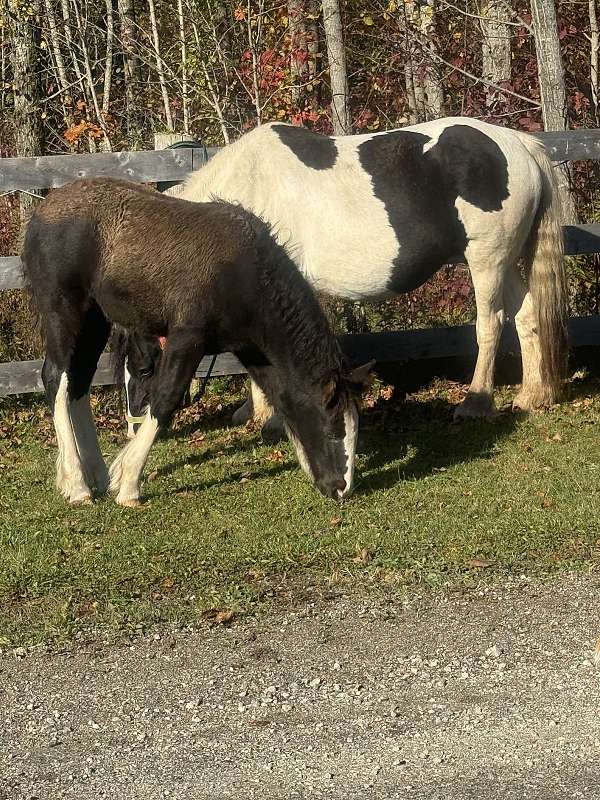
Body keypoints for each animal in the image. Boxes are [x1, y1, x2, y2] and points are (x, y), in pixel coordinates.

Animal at [22, 181, 370, 506]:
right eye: (333, 428)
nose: (342, 489)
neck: (243, 273)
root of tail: (41, 213)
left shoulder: (252, 351)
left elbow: (279, 395)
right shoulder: (187, 339)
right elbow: (166, 398)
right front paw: (129, 484)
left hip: (95, 320)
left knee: (78, 382)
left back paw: (96, 475)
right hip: (63, 312)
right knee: (55, 378)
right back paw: (77, 485)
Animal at [125, 115, 568, 428]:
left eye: (143, 365)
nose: (135, 421)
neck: (246, 195)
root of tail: (516, 144)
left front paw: (270, 417)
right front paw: (255, 413)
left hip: (486, 260)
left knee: (490, 324)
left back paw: (476, 402)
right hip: (504, 260)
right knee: (526, 315)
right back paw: (532, 396)